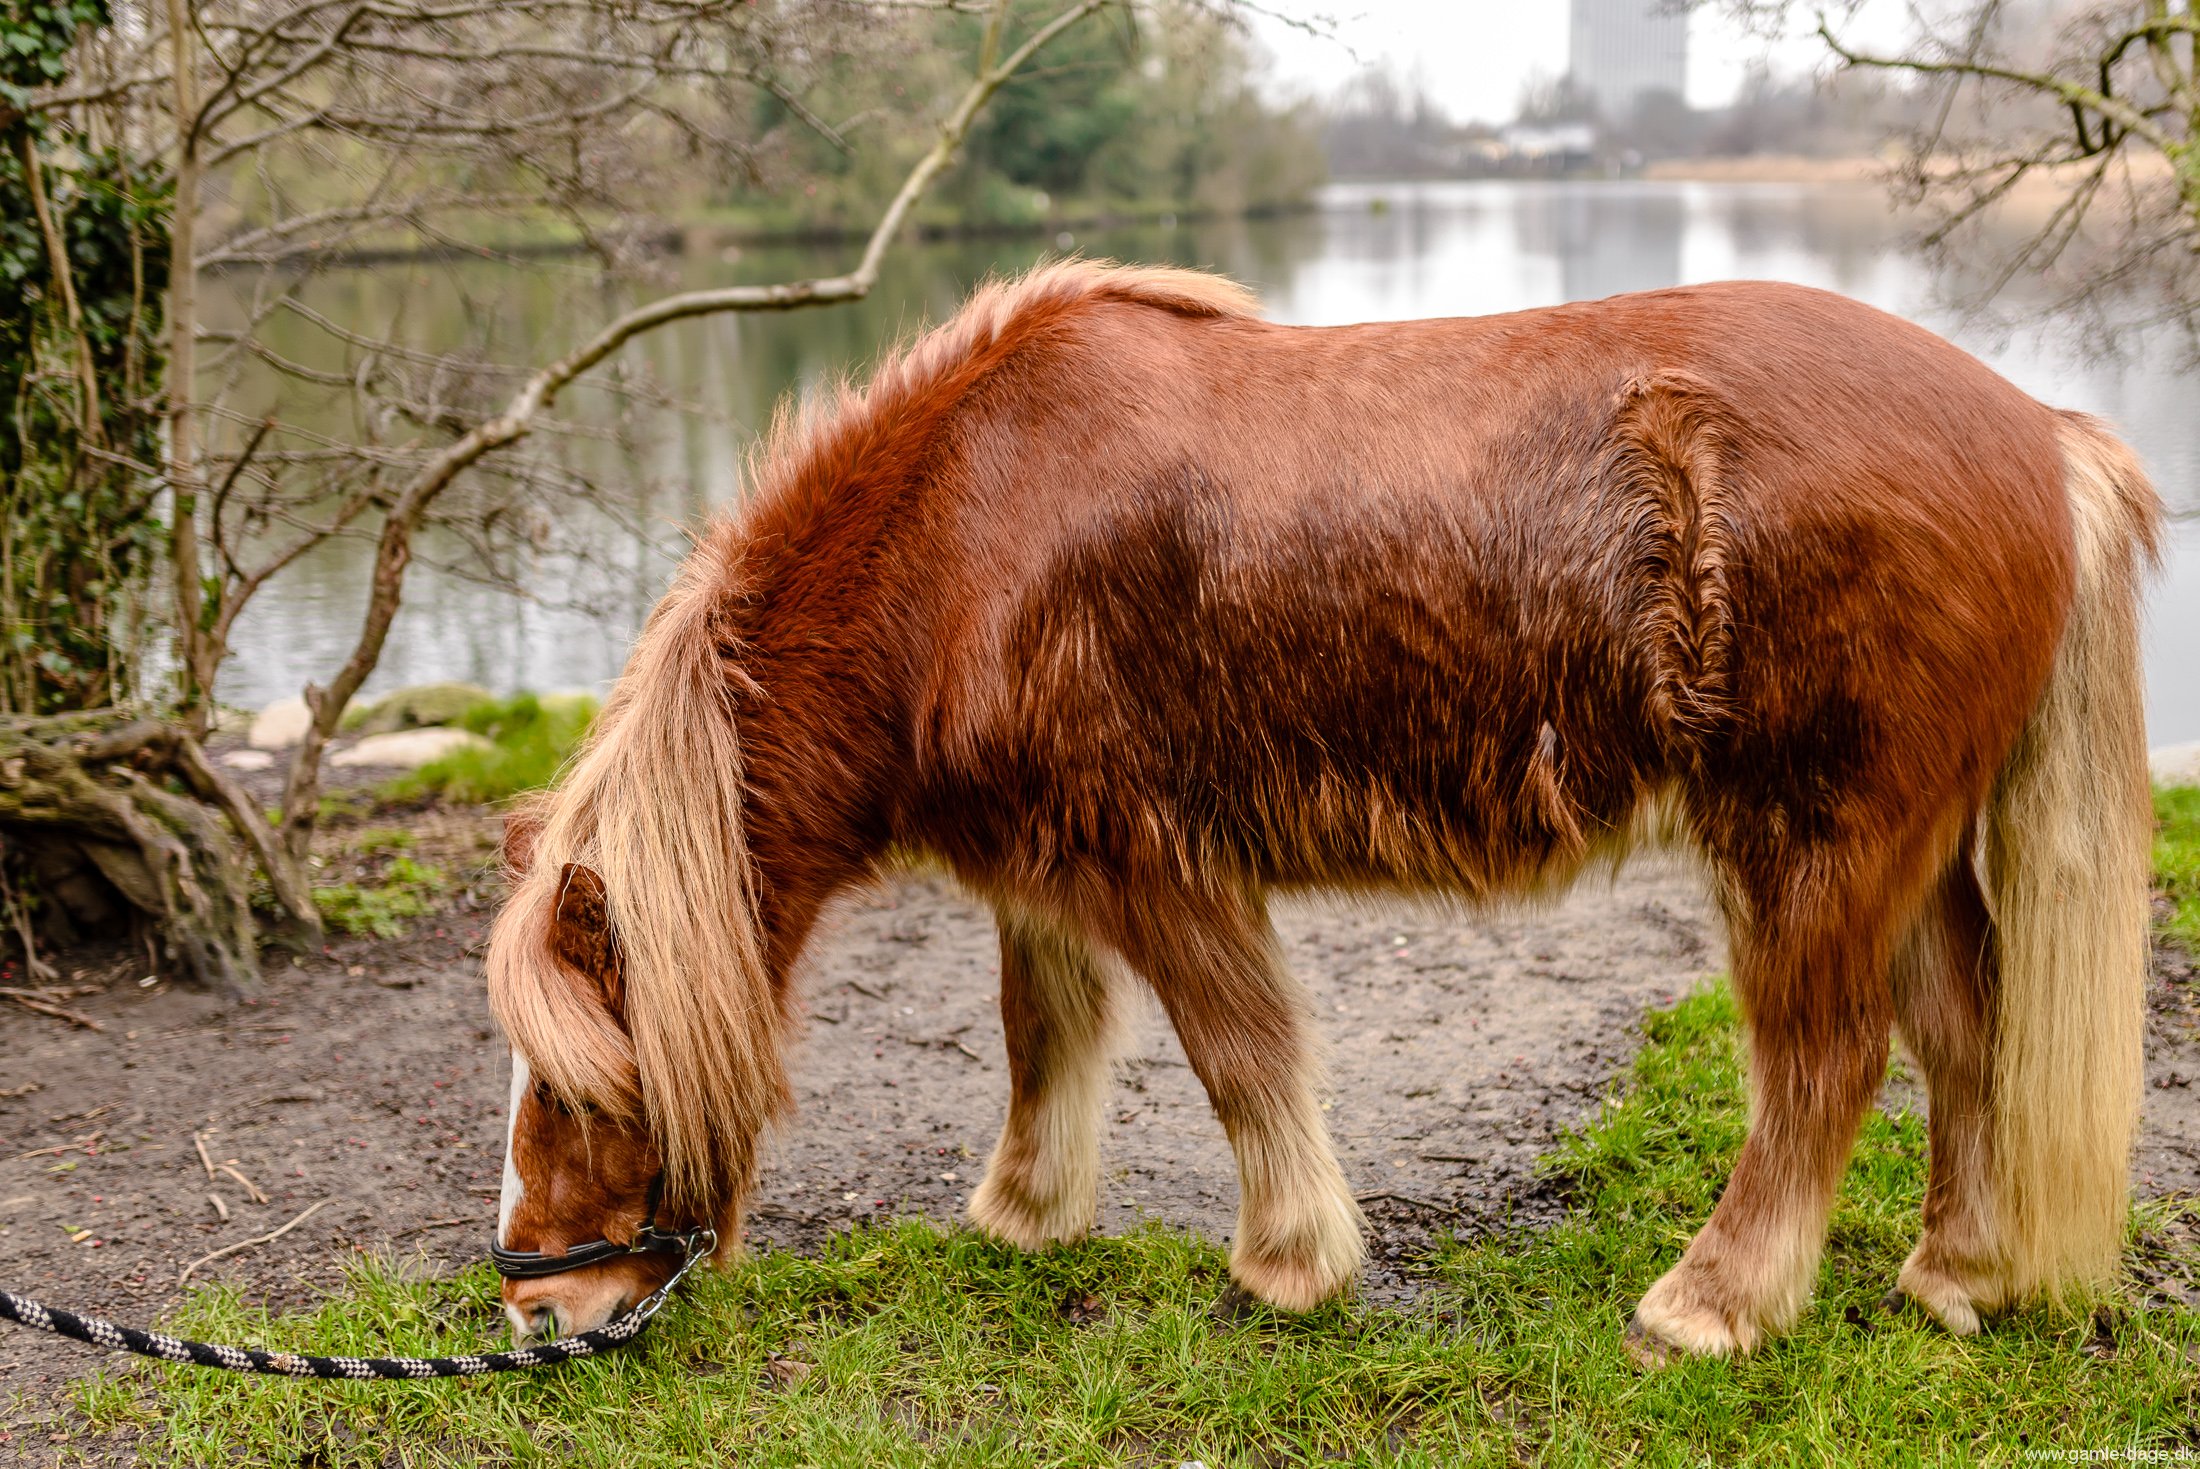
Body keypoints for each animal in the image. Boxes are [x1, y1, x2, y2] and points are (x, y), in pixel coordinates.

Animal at [490, 258, 2156, 1363]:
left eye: (582, 1090)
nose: (536, 1302)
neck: (966, 528)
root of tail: (2040, 433)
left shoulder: (1156, 861)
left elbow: (1240, 1054)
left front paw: (1288, 1261)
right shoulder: (1042, 871)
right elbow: (1047, 1040)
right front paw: (1025, 1216)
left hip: (1818, 838)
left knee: (1826, 1060)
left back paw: (1713, 1305)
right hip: (1908, 841)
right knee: (1966, 1028)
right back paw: (1959, 1271)